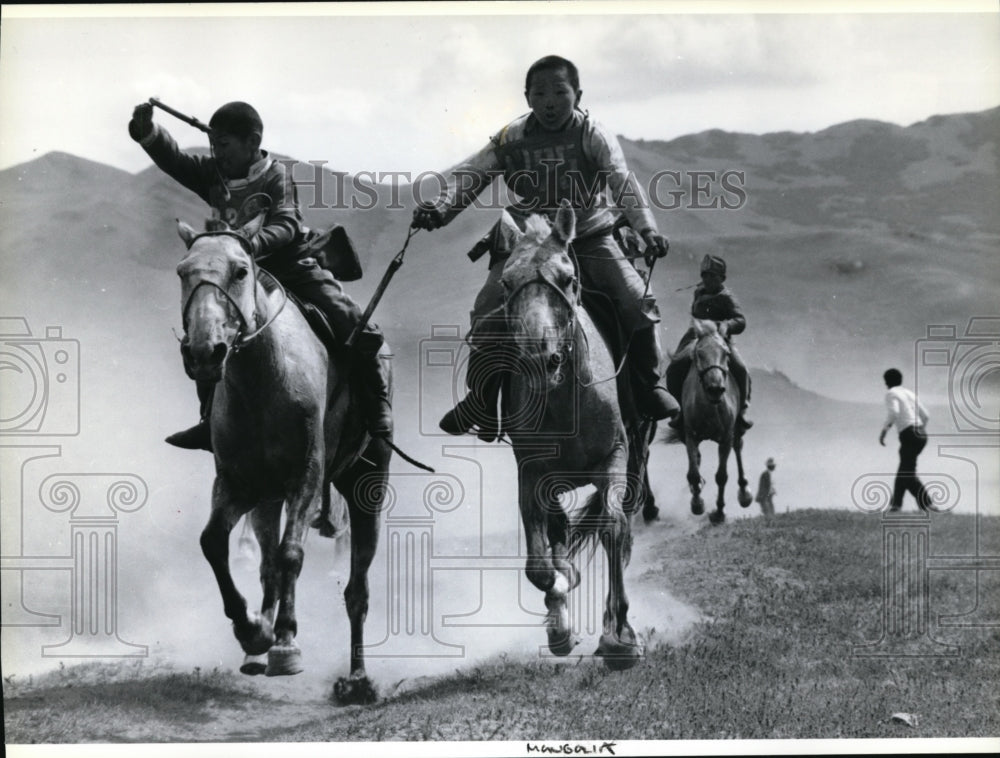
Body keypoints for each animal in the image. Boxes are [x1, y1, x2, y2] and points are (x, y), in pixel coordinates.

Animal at [174, 221, 388, 708]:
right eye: (182, 272)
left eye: (240, 270)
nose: (204, 352)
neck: (261, 380)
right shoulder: (238, 485)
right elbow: (214, 542)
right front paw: (252, 630)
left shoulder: (305, 478)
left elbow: (293, 554)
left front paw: (284, 640)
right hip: (266, 501)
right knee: (267, 564)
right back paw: (260, 650)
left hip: (366, 487)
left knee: (357, 591)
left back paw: (356, 678)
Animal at [496, 200, 644, 672]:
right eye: (506, 282)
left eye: (566, 277)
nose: (539, 359)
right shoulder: (531, 472)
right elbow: (540, 562)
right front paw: (560, 612)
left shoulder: (615, 459)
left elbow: (613, 530)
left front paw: (620, 638)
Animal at [672, 318, 752, 524]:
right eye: (699, 353)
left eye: (726, 354)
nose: (715, 389)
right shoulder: (690, 435)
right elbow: (693, 473)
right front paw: (697, 503)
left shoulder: (725, 438)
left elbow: (721, 476)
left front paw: (719, 512)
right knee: (697, 461)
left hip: (736, 430)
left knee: (738, 447)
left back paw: (744, 493)